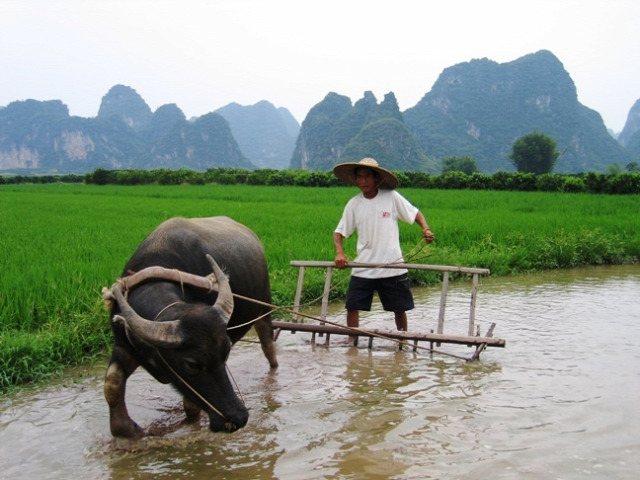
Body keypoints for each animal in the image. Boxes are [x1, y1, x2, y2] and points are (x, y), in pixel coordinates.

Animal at [102, 218, 278, 438]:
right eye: (192, 364)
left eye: (225, 354)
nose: (238, 418)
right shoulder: (125, 345)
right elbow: (112, 383)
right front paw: (125, 429)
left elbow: (191, 405)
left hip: (264, 307)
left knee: (268, 345)